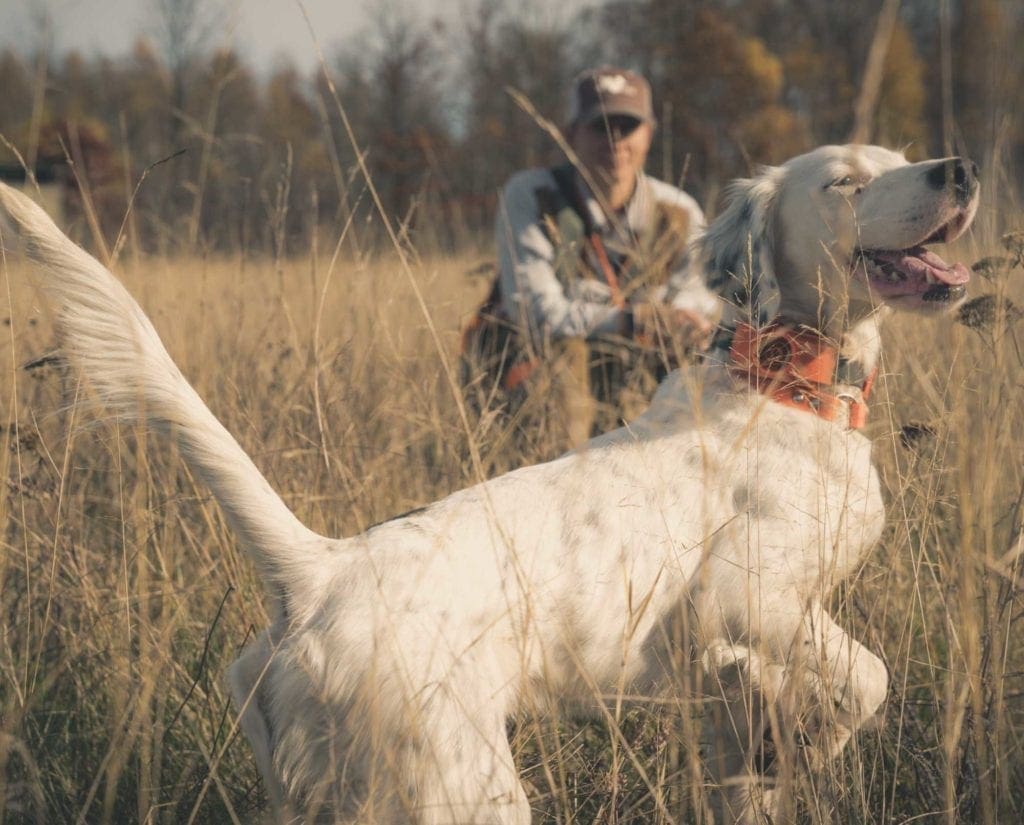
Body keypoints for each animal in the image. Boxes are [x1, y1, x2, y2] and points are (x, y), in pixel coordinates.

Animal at [0, 145, 974, 822]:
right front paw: (813, 743)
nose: (958, 169)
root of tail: (318, 570)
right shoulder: (743, 598)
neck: (779, 387)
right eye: (845, 180)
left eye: (897, 155)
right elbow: (869, 676)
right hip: (464, 787)